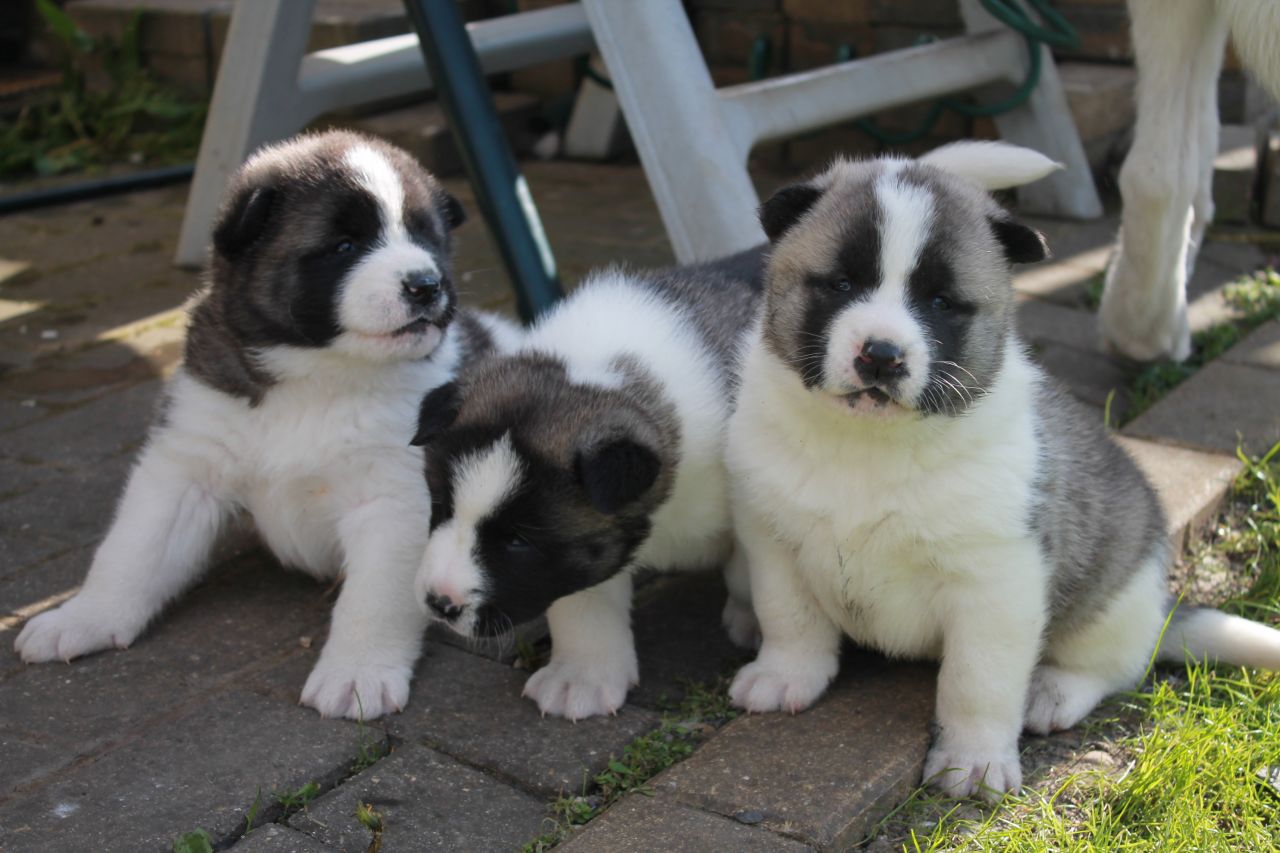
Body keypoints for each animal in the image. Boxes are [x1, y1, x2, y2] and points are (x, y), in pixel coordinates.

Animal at [12, 131, 517, 717]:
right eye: (344, 246)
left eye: (426, 239)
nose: (426, 284)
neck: (317, 374)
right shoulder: (187, 464)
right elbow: (133, 550)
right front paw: (84, 617)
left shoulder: (395, 501)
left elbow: (373, 599)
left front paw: (357, 673)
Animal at [414, 247, 762, 717]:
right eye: (442, 508)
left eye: (518, 541)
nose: (438, 603)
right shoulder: (583, 554)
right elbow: (582, 600)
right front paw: (580, 678)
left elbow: (752, 569)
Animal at [727, 139, 1280, 799]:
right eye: (839, 284)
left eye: (940, 302)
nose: (881, 356)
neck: (869, 445)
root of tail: (1163, 604)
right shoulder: (773, 542)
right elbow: (790, 616)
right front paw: (786, 674)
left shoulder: (995, 586)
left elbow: (977, 682)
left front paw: (975, 758)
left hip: (1114, 596)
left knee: (1115, 663)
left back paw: (1052, 690)